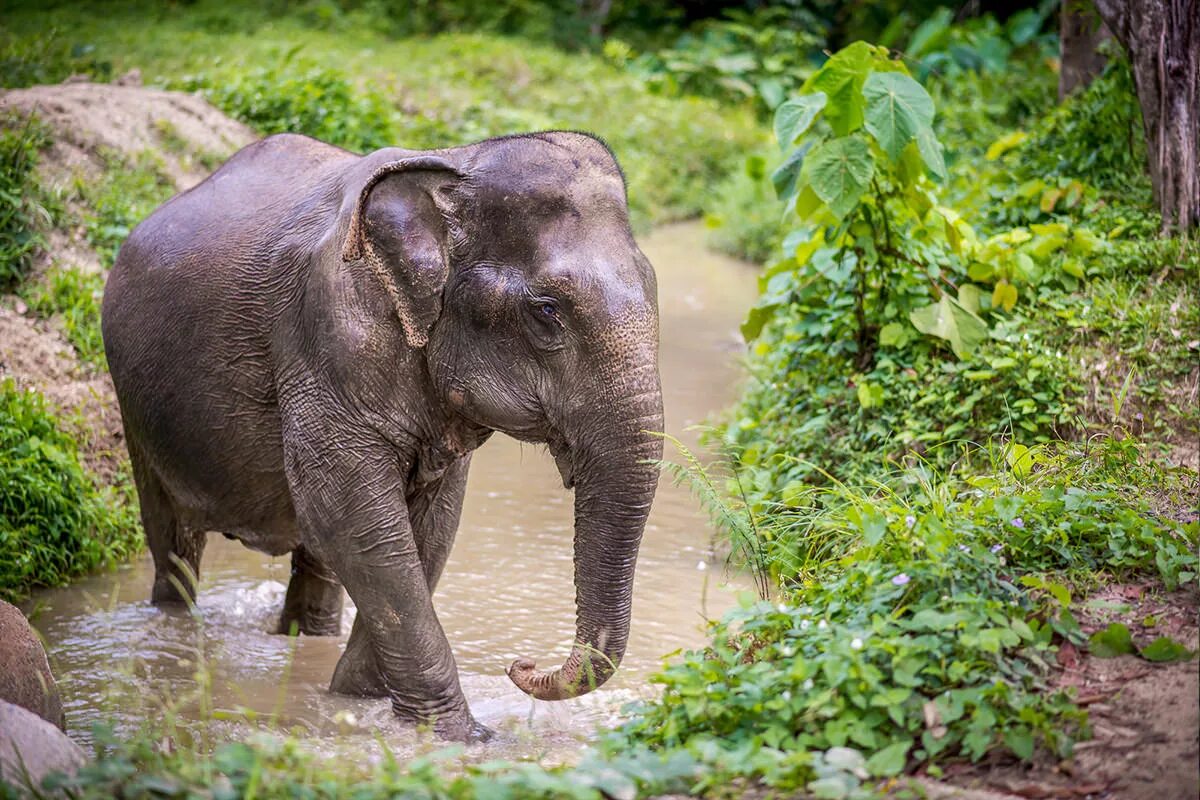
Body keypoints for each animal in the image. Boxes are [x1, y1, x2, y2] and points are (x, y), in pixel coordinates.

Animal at [100, 128, 667, 743]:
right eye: (546, 312)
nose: (520, 665)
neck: (456, 164)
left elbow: (430, 527)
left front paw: (358, 700)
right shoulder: (326, 336)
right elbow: (352, 517)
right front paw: (458, 739)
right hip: (136, 409)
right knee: (173, 544)